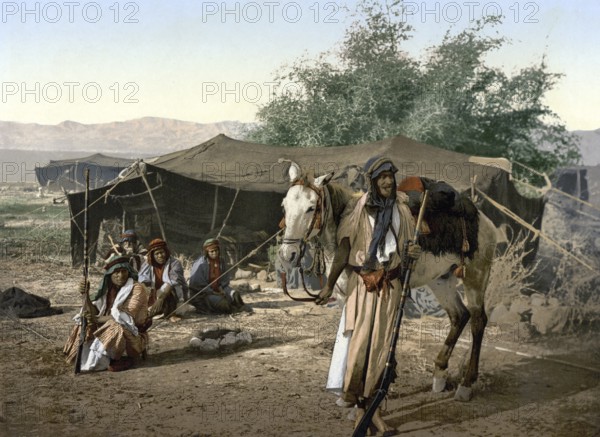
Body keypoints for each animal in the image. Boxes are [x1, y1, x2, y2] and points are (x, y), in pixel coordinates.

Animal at [278, 161, 500, 402]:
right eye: (284, 206)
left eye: (311, 208)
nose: (288, 254)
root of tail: (485, 221)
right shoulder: (346, 295)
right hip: (442, 279)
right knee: (459, 315)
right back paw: (439, 374)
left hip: (475, 276)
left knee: (478, 320)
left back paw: (466, 384)